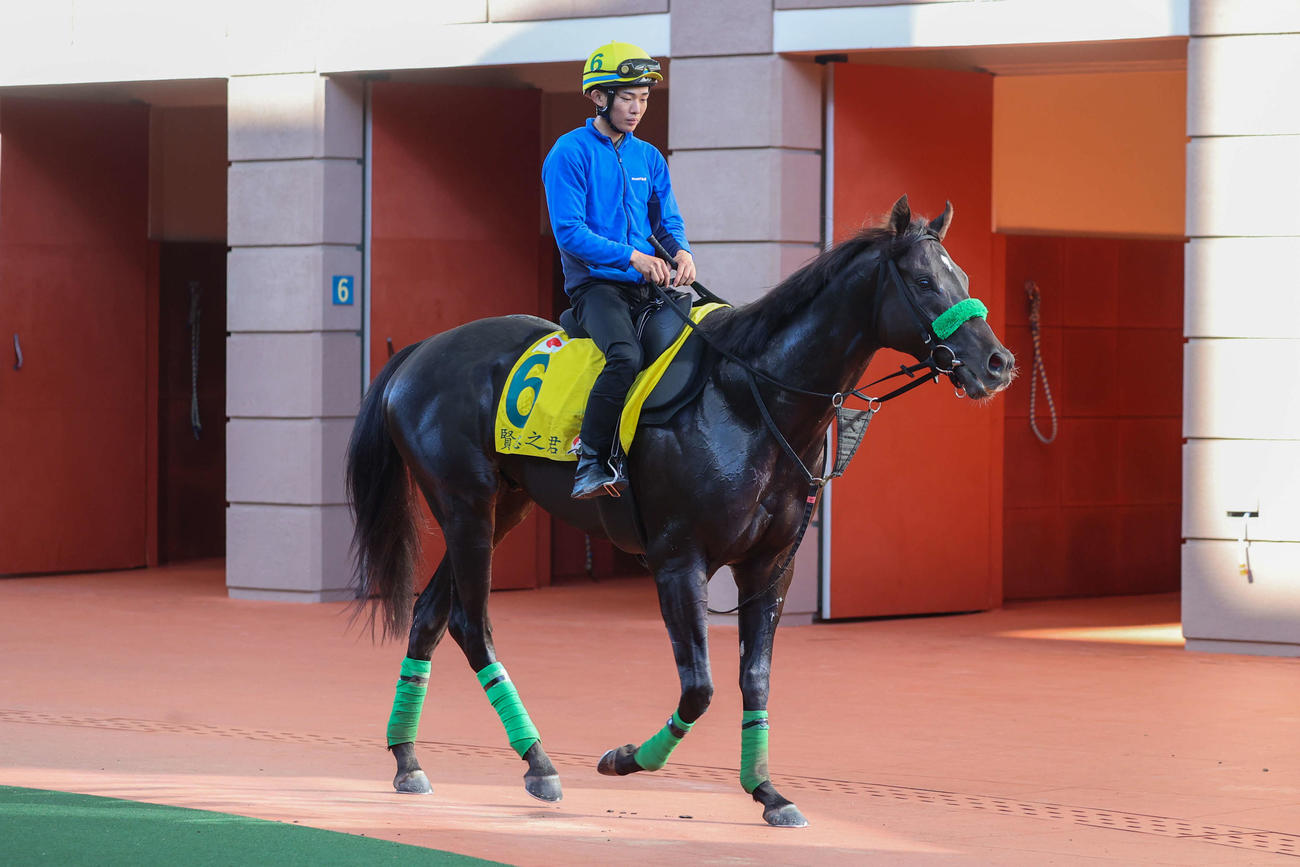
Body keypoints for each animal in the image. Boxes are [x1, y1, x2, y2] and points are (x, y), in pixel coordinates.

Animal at [346, 195, 1015, 827]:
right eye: (923, 281)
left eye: (962, 276)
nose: (998, 363)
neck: (749, 397)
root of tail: (421, 351)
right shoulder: (677, 560)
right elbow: (700, 687)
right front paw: (626, 759)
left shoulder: (770, 567)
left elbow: (754, 679)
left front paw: (767, 792)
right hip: (466, 506)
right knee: (469, 623)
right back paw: (537, 763)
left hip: (504, 507)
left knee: (431, 616)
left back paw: (407, 758)